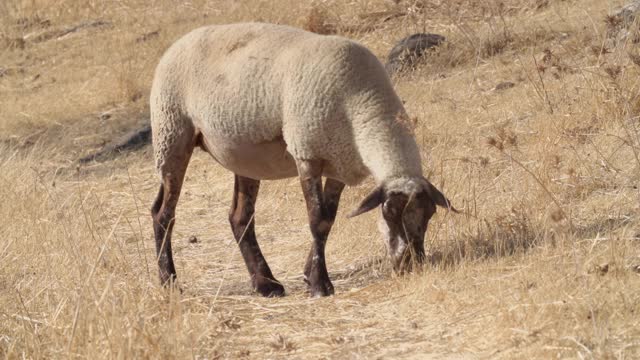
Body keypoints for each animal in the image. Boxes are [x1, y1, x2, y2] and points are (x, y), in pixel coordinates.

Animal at [151, 22, 456, 298]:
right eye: (389, 212)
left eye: (430, 214)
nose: (410, 263)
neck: (364, 103)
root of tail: (179, 41)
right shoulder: (308, 154)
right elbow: (317, 220)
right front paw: (320, 285)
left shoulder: (339, 164)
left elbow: (329, 219)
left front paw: (310, 276)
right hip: (171, 132)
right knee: (163, 213)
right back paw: (169, 283)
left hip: (243, 154)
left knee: (239, 217)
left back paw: (266, 284)